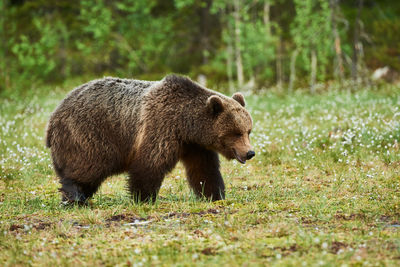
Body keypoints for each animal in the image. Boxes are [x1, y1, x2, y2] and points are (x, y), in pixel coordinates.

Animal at [46, 74, 253, 204]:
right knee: (88, 166)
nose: (250, 152)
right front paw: (143, 197)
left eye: (248, 131)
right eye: (236, 132)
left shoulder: (195, 146)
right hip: (89, 133)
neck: (186, 125)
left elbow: (204, 171)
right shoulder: (161, 127)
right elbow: (150, 164)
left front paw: (214, 195)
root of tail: (54, 114)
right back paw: (75, 196)